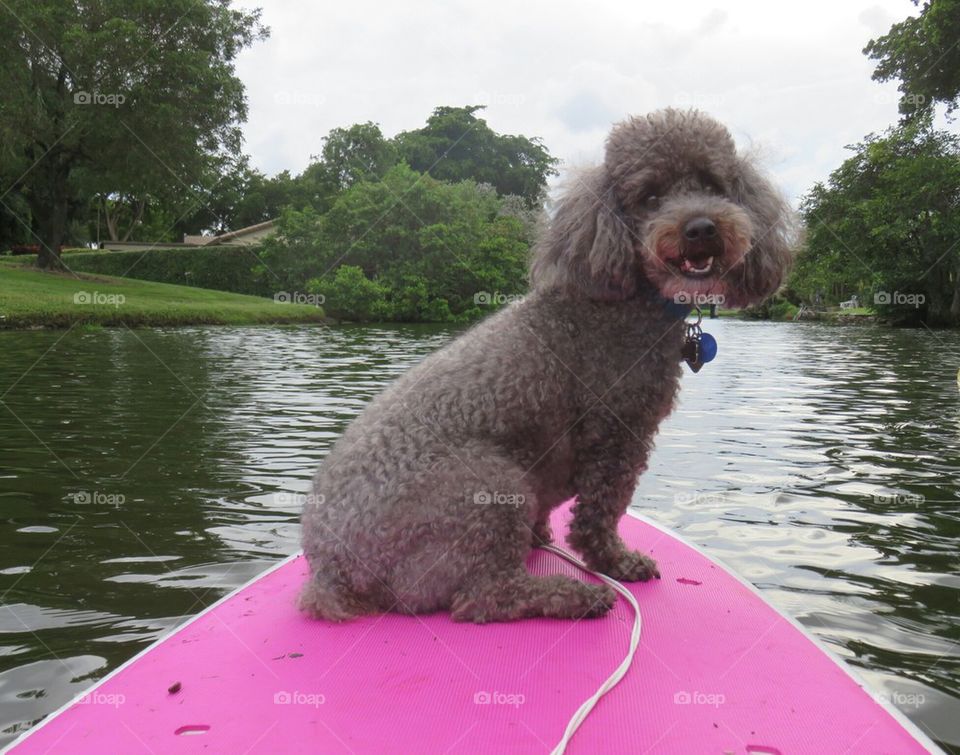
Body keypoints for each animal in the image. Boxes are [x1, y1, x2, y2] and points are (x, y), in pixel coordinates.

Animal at [300, 108, 796, 628]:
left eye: (713, 184)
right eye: (650, 196)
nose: (701, 227)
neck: (622, 301)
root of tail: (331, 572)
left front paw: (543, 536)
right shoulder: (619, 430)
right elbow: (602, 510)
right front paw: (616, 562)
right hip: (486, 487)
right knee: (482, 597)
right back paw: (573, 596)